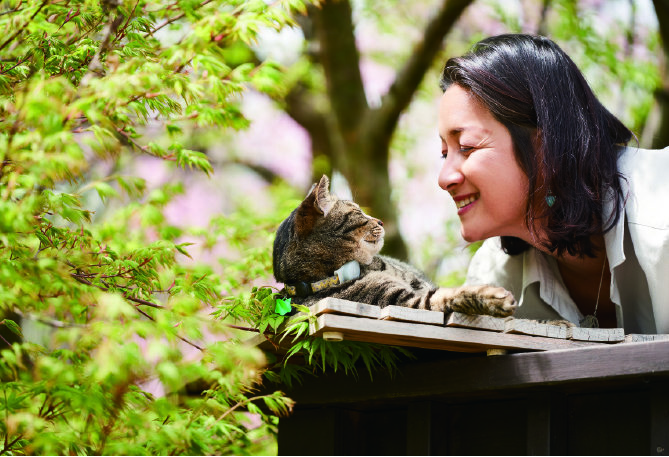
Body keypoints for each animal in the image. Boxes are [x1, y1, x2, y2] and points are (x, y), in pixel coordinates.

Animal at [272, 175, 516, 318]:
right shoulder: (406, 303)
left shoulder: (419, 285)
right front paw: (495, 297)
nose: (380, 221)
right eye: (358, 212)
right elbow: (449, 295)